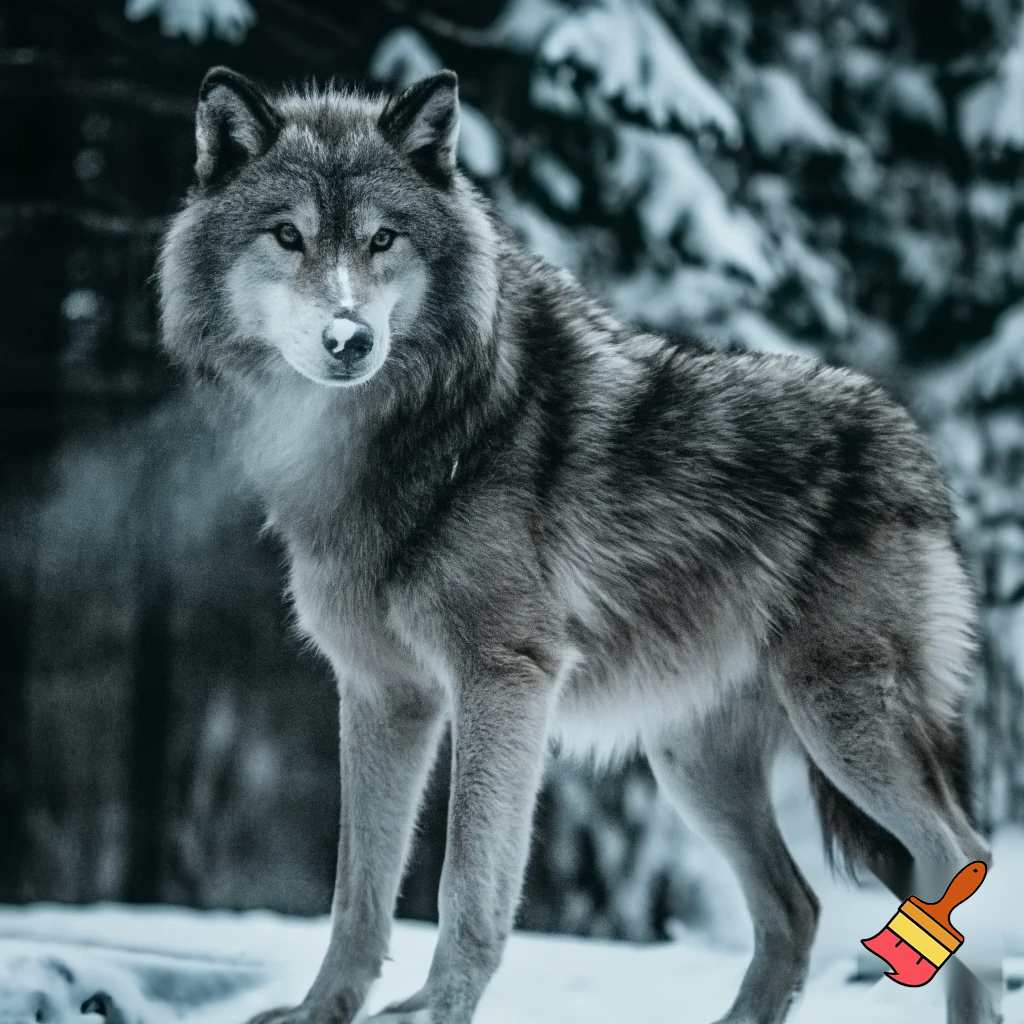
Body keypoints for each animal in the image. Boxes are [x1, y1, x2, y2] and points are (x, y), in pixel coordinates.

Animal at [158, 66, 999, 1024]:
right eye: (288, 235)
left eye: (382, 239)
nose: (350, 339)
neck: (402, 437)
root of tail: (913, 442)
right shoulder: (381, 691)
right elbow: (357, 891)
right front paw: (320, 1012)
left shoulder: (504, 676)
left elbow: (465, 883)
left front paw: (441, 1009)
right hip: (693, 764)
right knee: (797, 910)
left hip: (840, 722)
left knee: (959, 858)